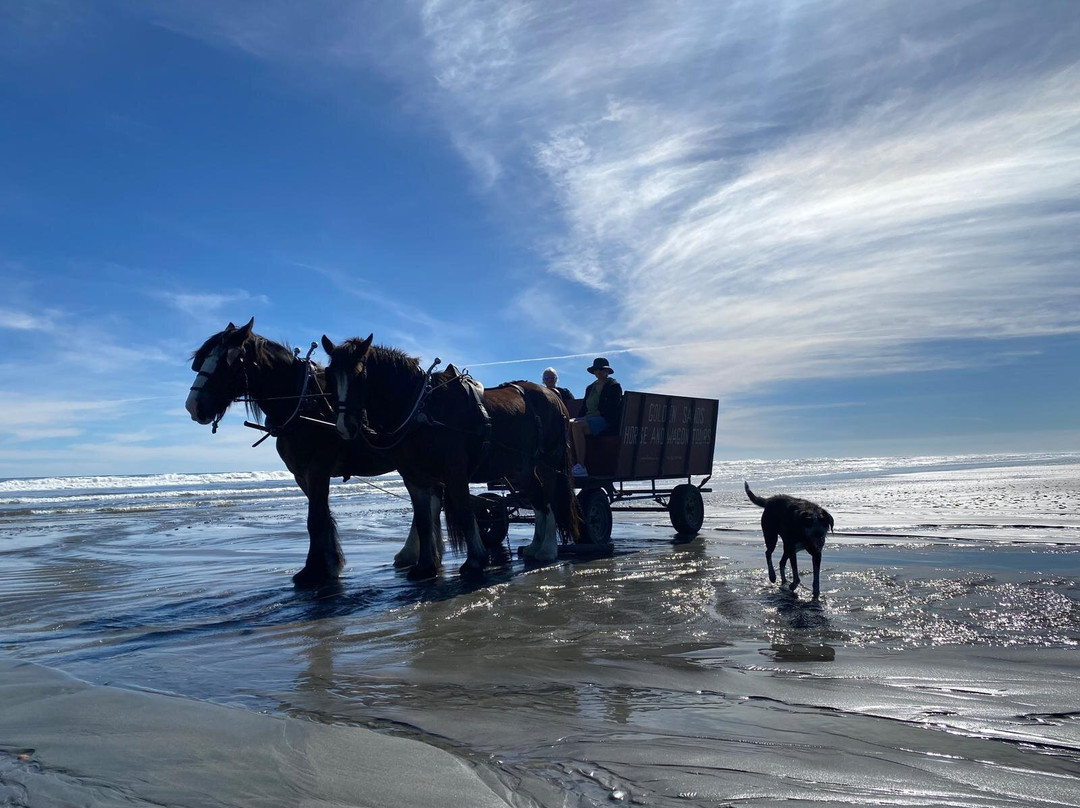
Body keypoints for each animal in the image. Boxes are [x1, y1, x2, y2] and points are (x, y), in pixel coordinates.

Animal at [185, 318, 443, 586]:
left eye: (229, 361)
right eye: (200, 361)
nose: (193, 406)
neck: (304, 403)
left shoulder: (317, 468)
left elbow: (315, 519)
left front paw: (315, 569)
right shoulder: (301, 473)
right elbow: (320, 516)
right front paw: (328, 562)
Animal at [321, 334, 581, 581]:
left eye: (359, 375)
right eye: (330, 376)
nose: (345, 427)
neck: (420, 409)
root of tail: (551, 395)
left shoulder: (454, 472)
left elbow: (465, 513)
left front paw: (475, 560)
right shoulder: (414, 478)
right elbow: (423, 521)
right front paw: (425, 566)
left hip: (548, 461)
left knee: (548, 497)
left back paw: (547, 549)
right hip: (521, 467)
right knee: (537, 498)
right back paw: (536, 546)